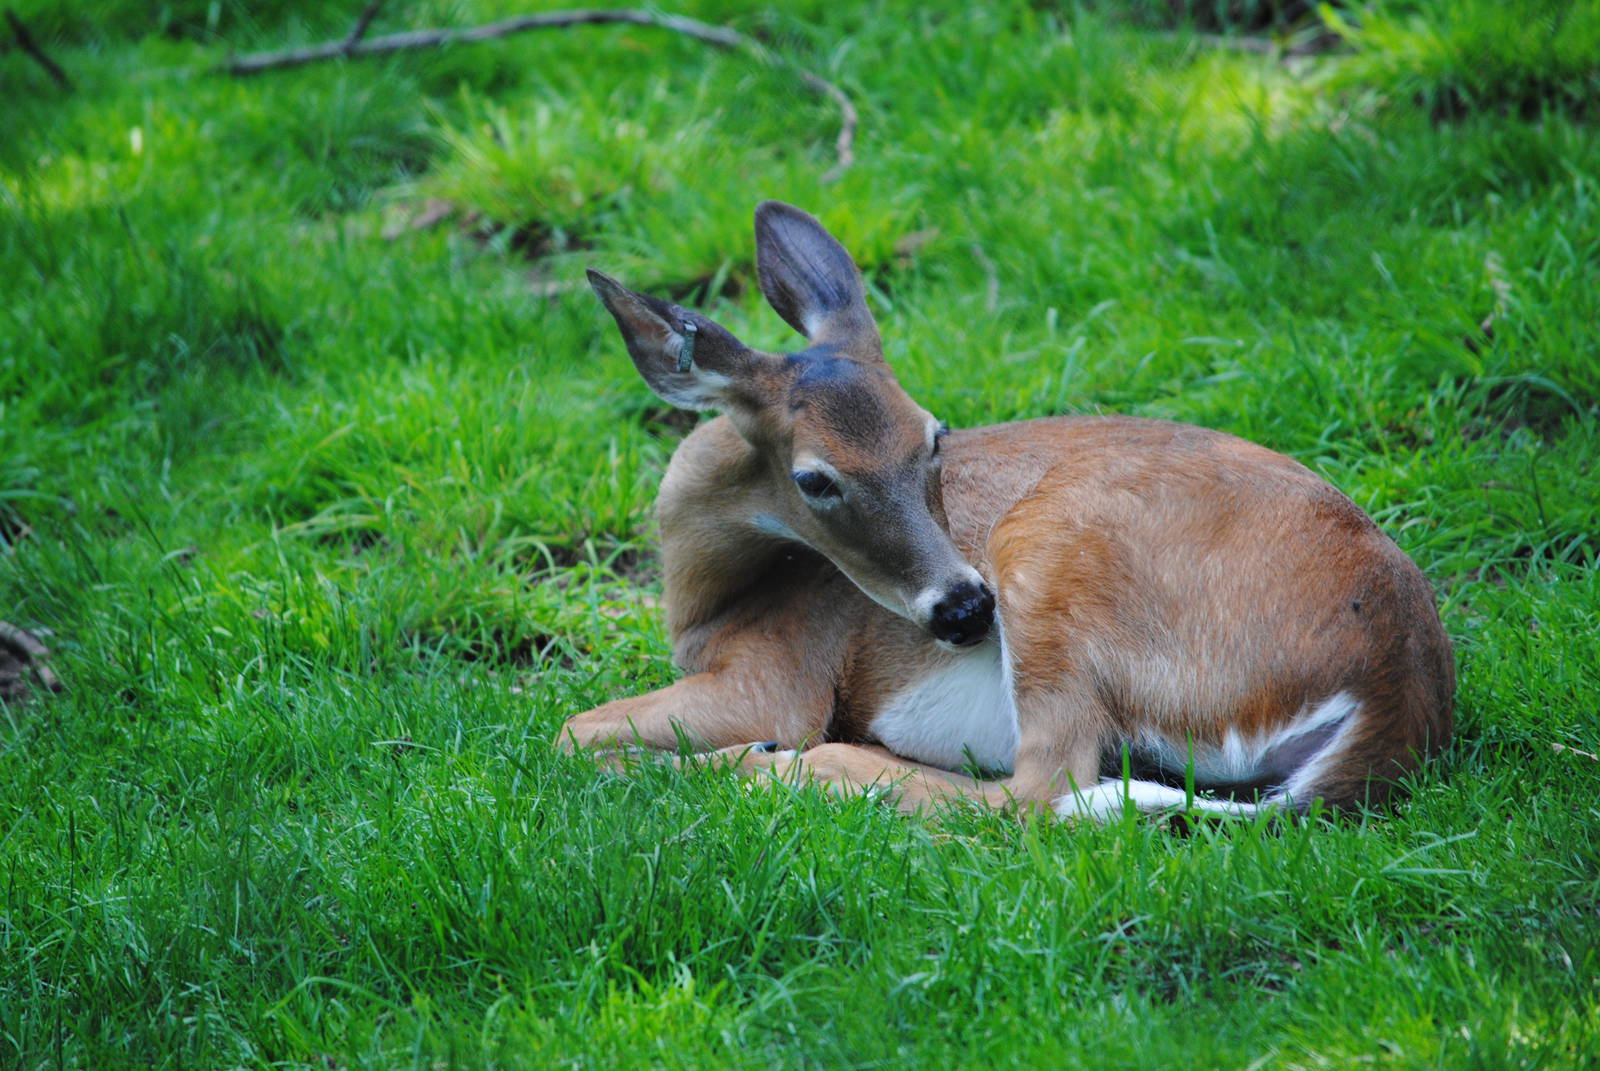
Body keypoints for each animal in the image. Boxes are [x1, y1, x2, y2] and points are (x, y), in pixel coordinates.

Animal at [558, 201, 1455, 821]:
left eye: (934, 437)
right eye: (815, 478)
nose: (962, 607)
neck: (711, 602)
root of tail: (1397, 690)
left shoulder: (779, 673)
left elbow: (567, 729)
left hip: (1050, 547)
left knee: (1040, 791)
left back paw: (780, 766)